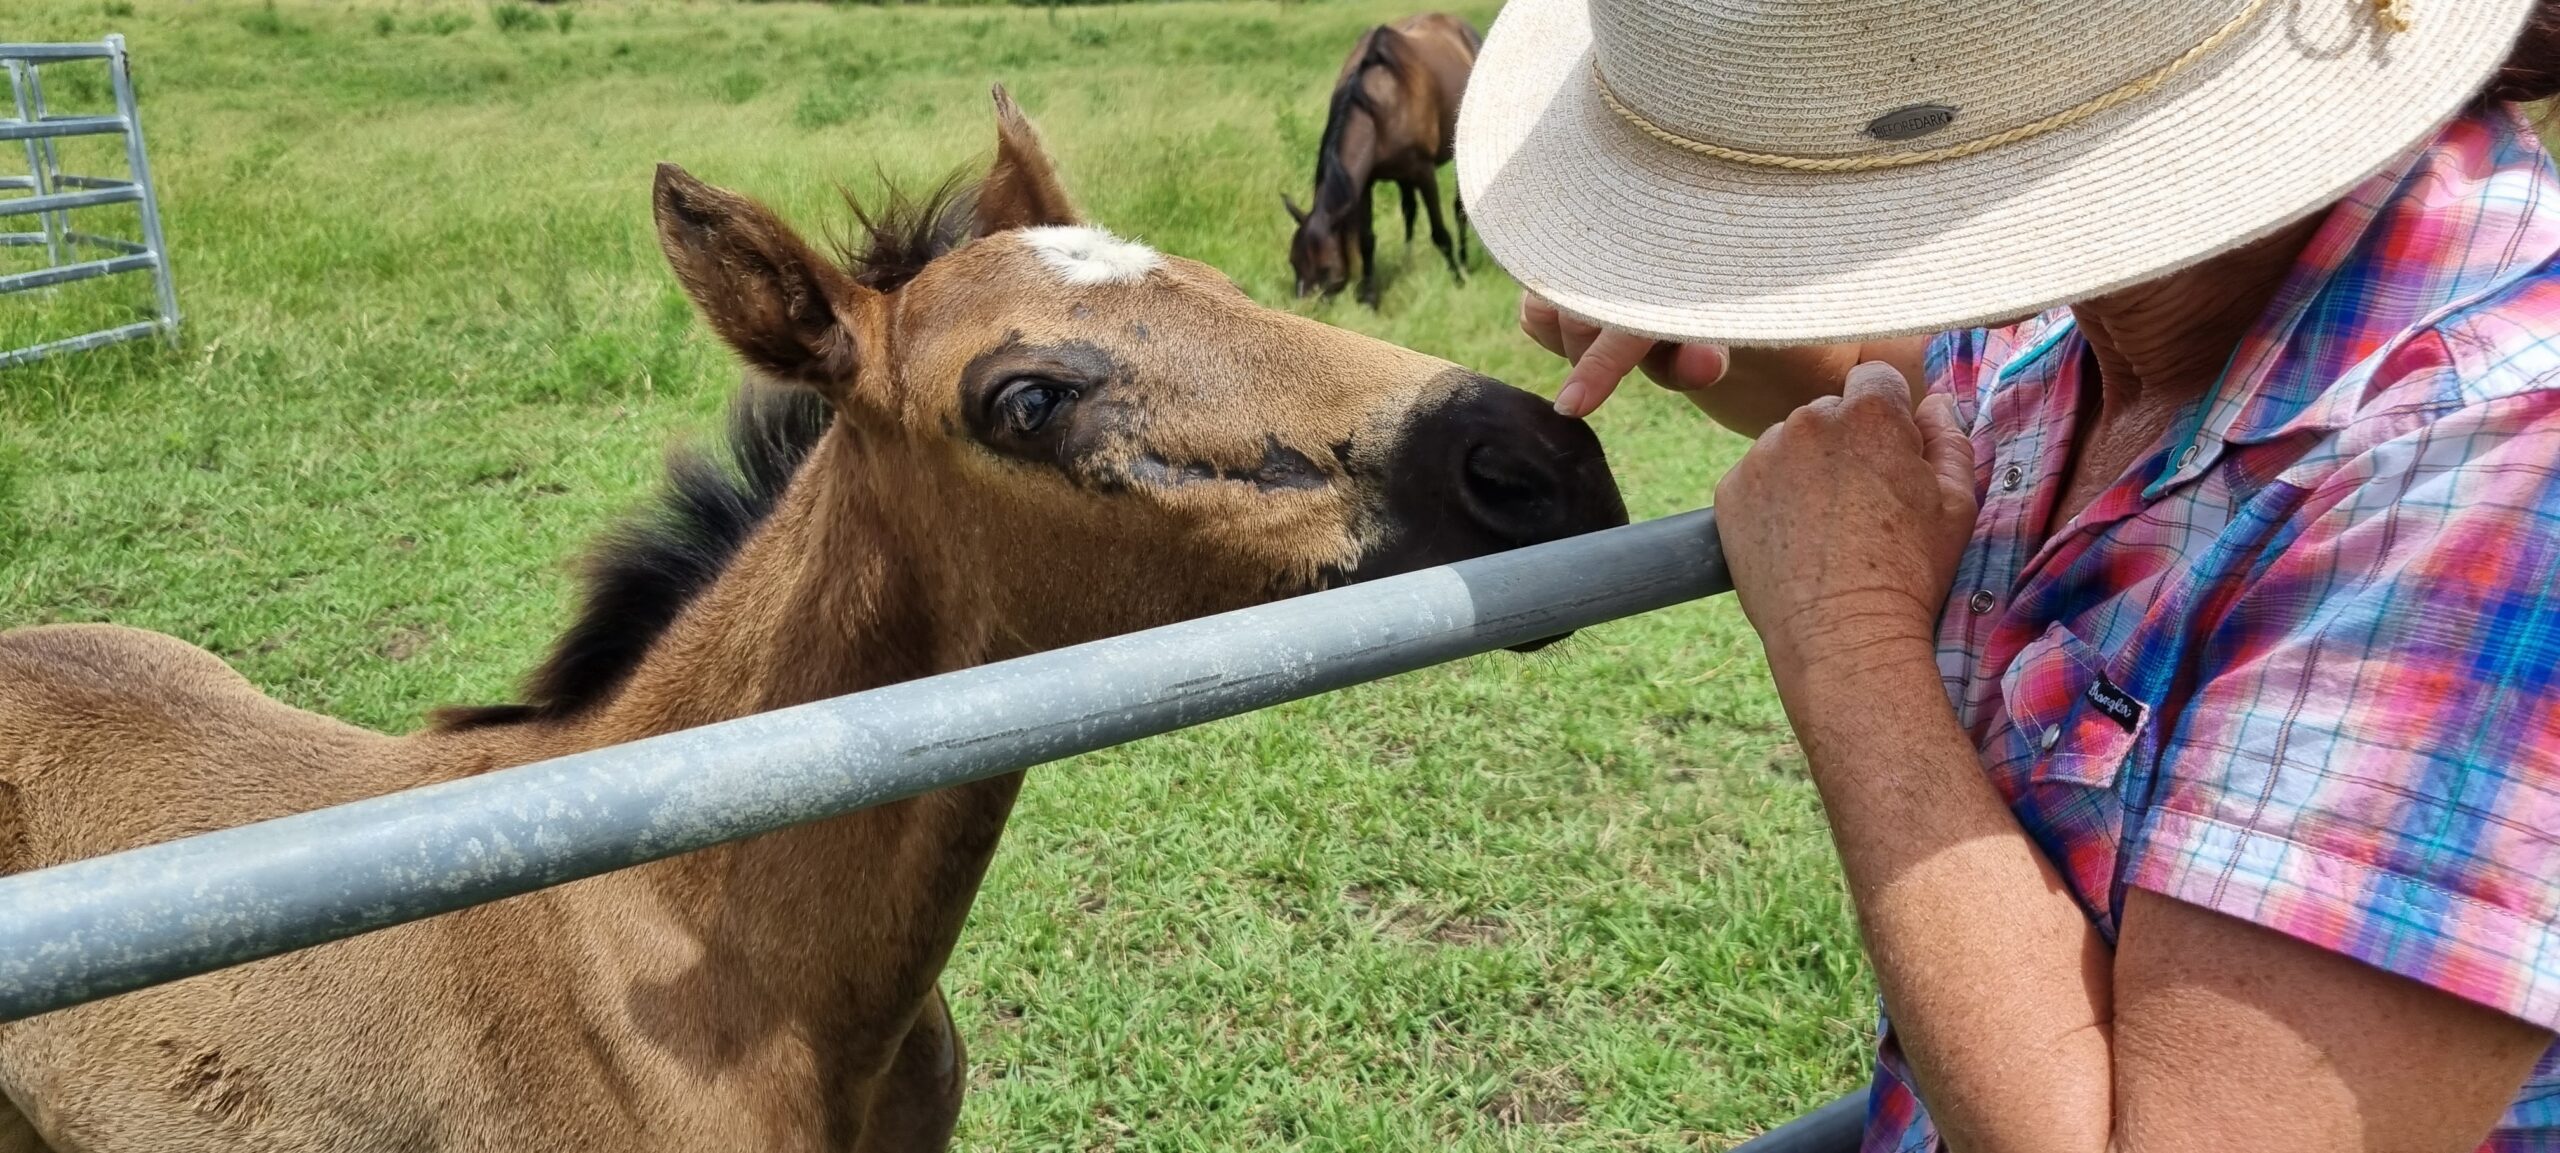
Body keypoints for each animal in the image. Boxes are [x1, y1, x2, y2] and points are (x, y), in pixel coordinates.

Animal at [1280, 12, 1484, 306]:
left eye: (1326, 269)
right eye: (1293, 262)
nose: (1302, 308)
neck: (1378, 105)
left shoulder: (1424, 173)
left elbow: (1439, 232)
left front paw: (1456, 278)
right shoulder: (1366, 183)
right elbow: (1366, 239)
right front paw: (1369, 297)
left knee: (1458, 209)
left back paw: (1465, 263)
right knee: (1409, 210)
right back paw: (1408, 260)